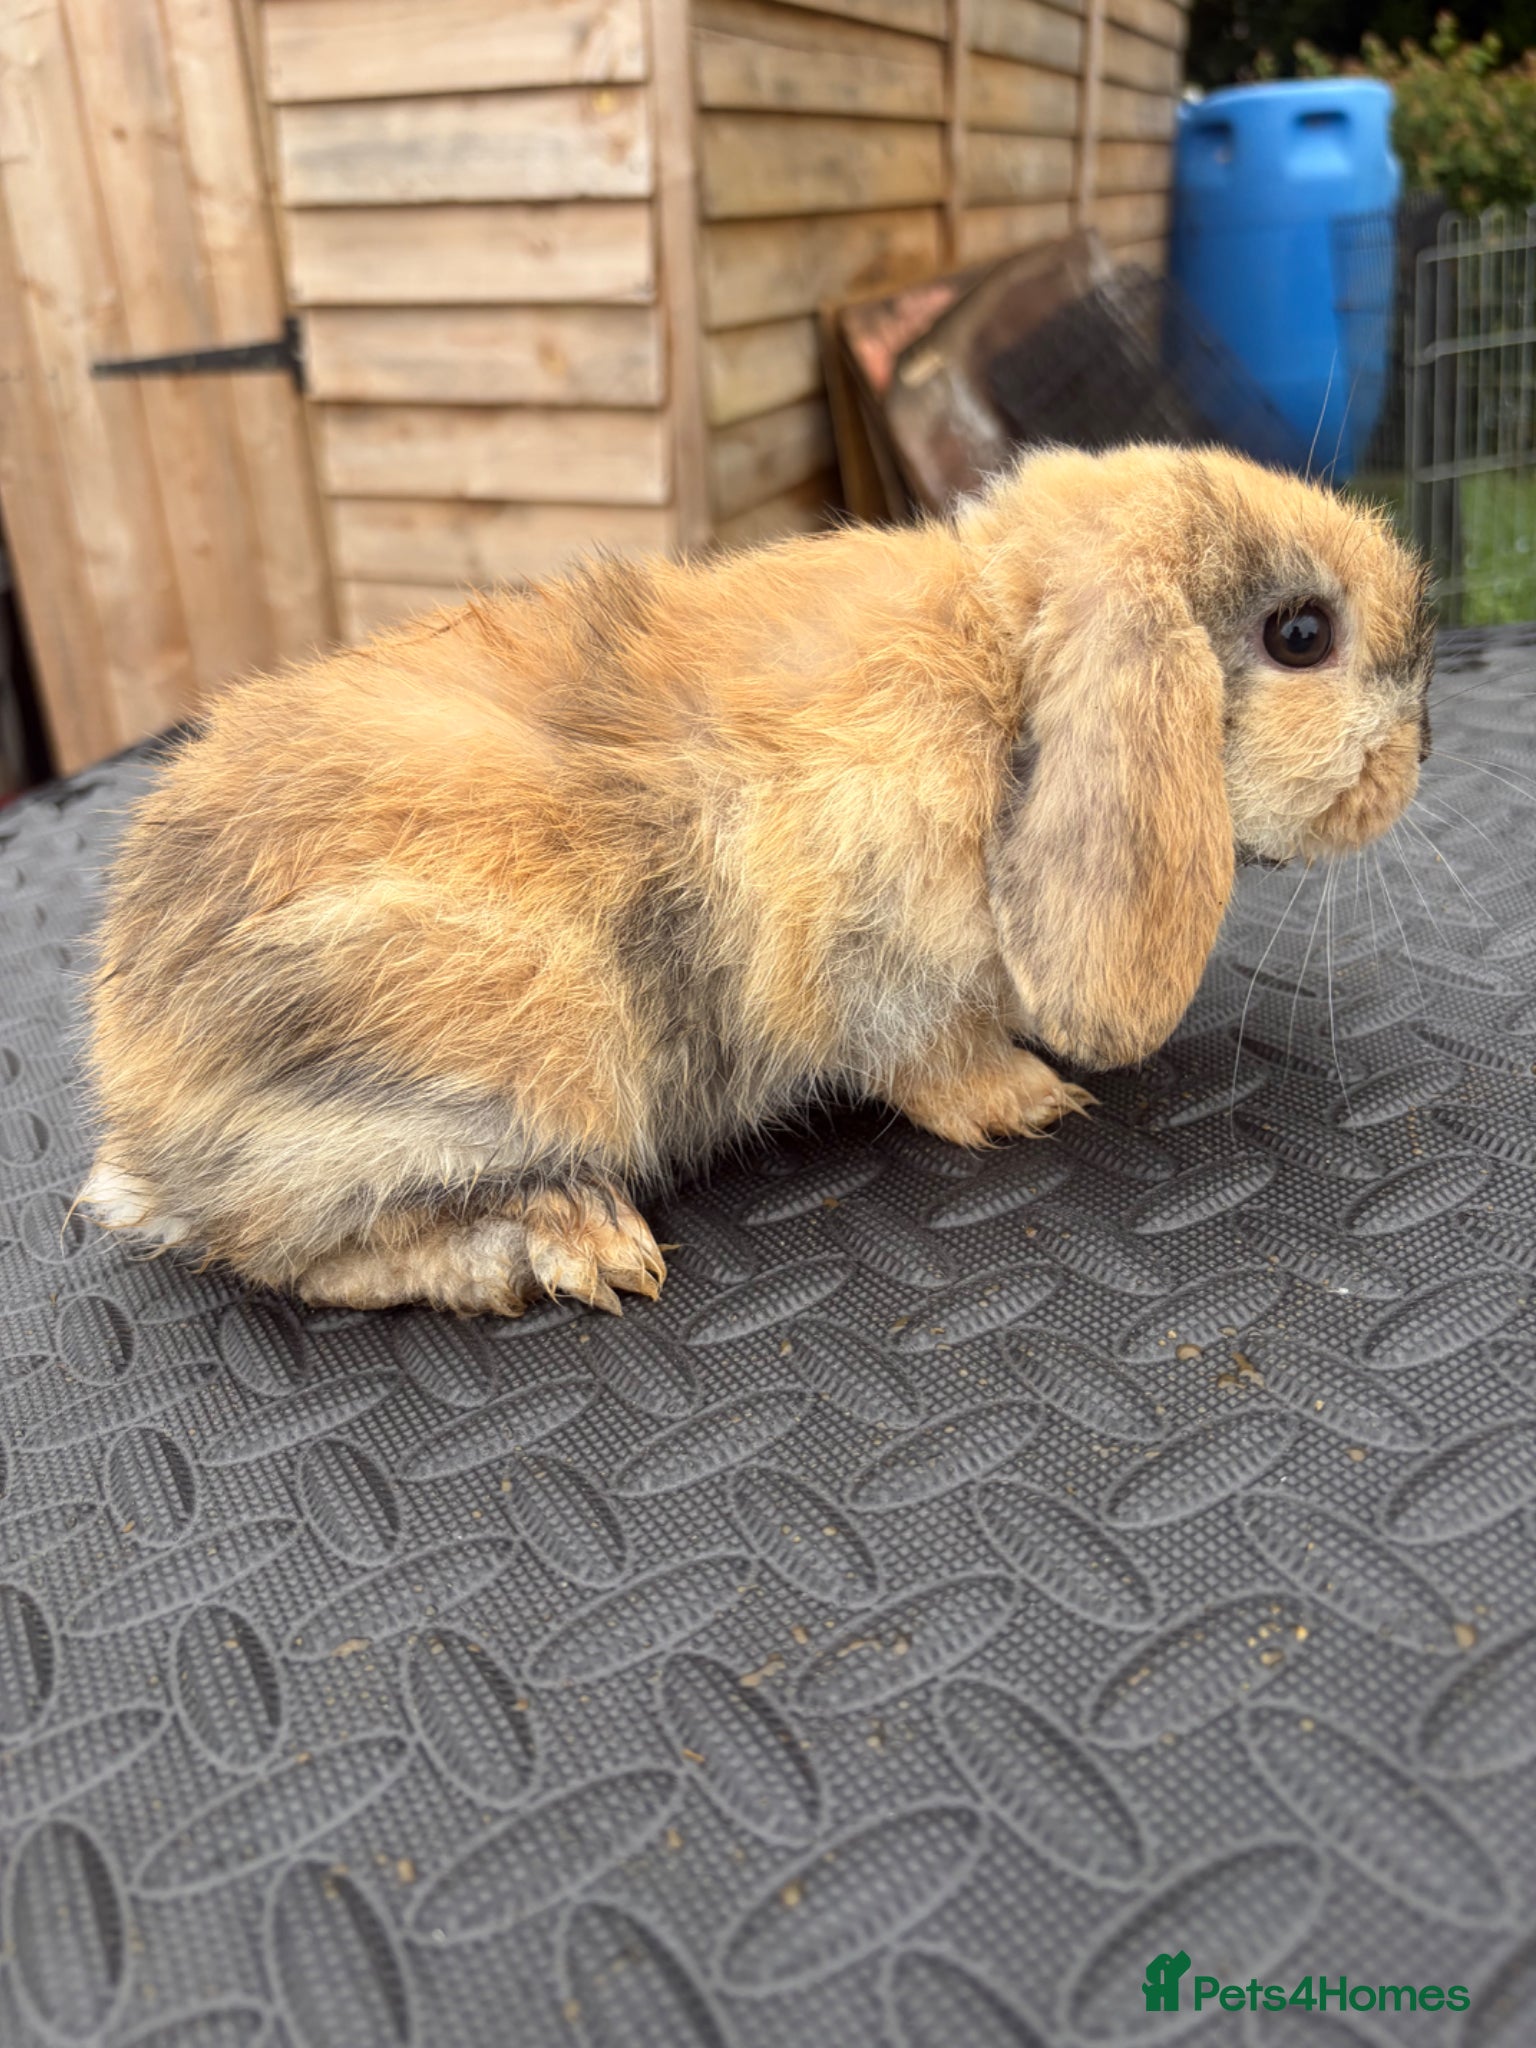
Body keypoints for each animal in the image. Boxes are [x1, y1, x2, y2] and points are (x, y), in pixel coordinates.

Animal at [82, 444, 1433, 1317]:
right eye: (1301, 634)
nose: (1423, 743)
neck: (1001, 675)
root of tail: (146, 1107)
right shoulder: (882, 964)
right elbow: (931, 1058)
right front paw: (1029, 1100)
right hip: (495, 1075)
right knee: (294, 1250)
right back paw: (571, 1247)